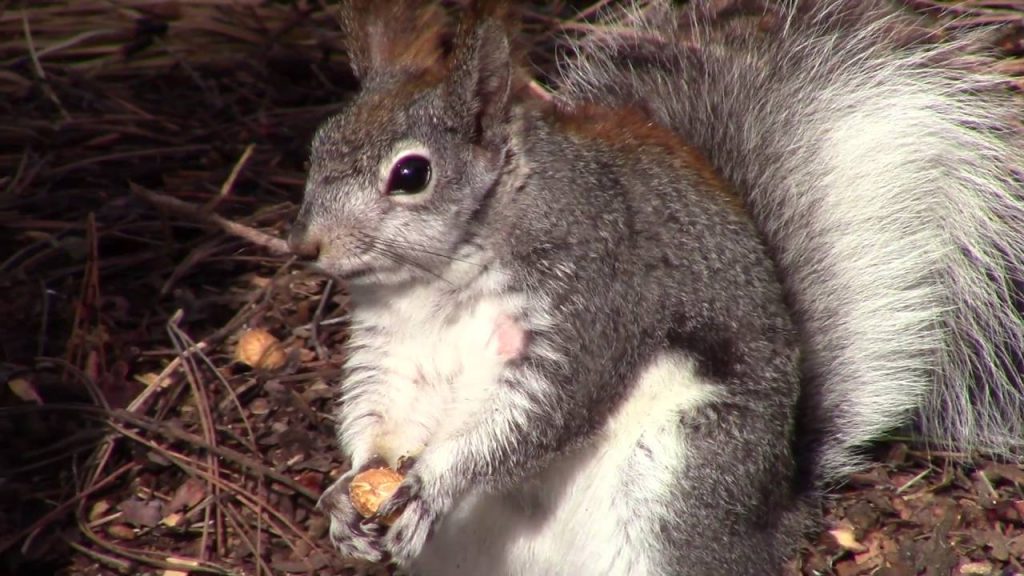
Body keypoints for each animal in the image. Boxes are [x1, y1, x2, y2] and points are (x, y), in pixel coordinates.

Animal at [287, 0, 1024, 574]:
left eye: (411, 174)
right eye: (318, 146)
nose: (306, 246)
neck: (436, 280)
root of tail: (777, 510)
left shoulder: (595, 299)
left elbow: (541, 412)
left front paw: (434, 485)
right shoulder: (388, 346)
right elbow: (375, 409)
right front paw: (345, 494)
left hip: (675, 480)